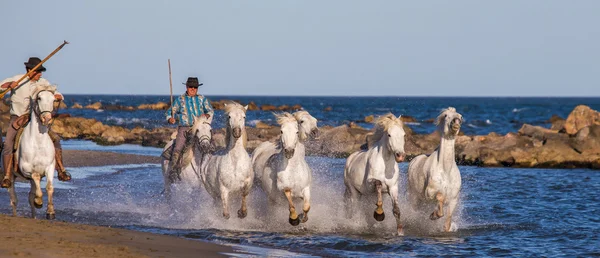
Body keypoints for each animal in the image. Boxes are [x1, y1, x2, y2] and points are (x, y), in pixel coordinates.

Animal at [5, 85, 57, 219]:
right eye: (39, 98)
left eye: (53, 99)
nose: (47, 118)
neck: (38, 143)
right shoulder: (26, 167)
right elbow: (36, 176)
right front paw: (39, 201)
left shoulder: (50, 167)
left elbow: (49, 187)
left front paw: (50, 212)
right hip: (11, 176)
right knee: (13, 198)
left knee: (30, 196)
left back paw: (34, 216)